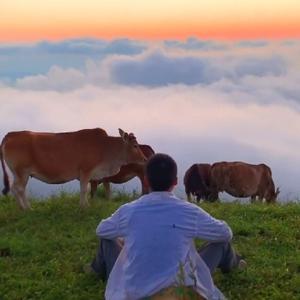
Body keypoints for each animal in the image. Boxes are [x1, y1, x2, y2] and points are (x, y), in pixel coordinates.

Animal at [0, 127, 145, 210]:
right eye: (136, 146)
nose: (144, 159)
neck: (105, 147)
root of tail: (11, 134)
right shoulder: (86, 171)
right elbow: (84, 190)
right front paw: (84, 206)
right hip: (21, 172)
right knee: (18, 189)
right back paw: (26, 208)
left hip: (19, 173)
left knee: (17, 188)